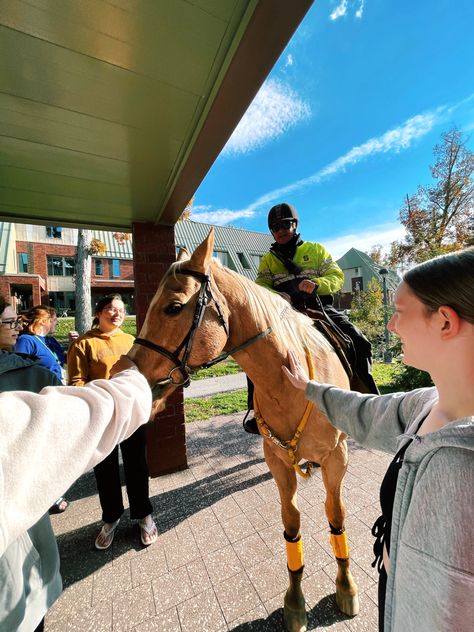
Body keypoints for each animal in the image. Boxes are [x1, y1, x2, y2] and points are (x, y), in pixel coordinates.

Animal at [128, 231, 358, 632]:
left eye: (173, 307)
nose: (135, 377)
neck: (290, 382)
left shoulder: (336, 457)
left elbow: (336, 516)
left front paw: (345, 586)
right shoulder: (276, 461)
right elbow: (291, 522)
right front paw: (294, 600)